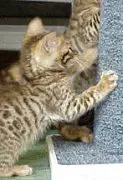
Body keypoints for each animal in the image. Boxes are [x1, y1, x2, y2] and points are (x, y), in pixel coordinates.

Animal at [0, 17, 118, 176]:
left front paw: (89, 53)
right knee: (2, 169)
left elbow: (77, 67)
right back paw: (19, 168)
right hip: (11, 145)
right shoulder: (68, 105)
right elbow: (89, 93)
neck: (39, 76)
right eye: (69, 49)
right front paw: (103, 78)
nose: (74, 51)